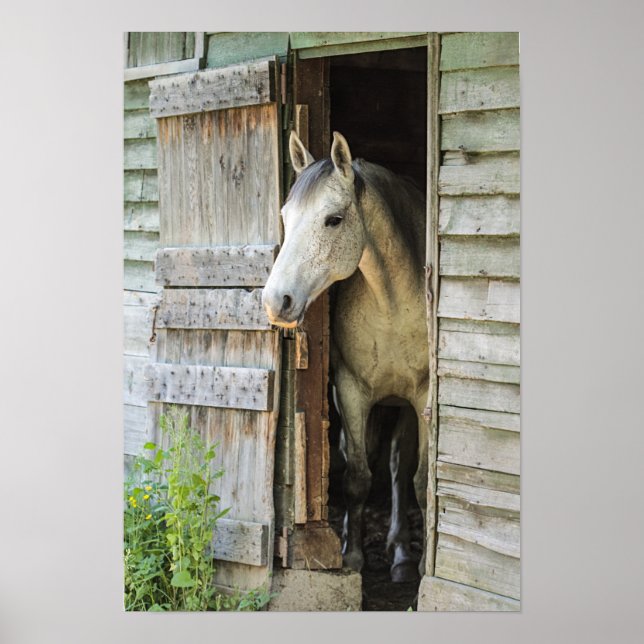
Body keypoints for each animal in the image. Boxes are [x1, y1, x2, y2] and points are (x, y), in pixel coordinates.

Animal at [262, 131, 429, 582]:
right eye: (285, 216)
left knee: (398, 467)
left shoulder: (423, 397)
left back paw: (402, 554)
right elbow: (356, 477)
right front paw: (351, 557)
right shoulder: (351, 391)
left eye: (333, 220)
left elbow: (421, 482)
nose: (275, 301)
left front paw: (424, 565)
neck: (392, 305)